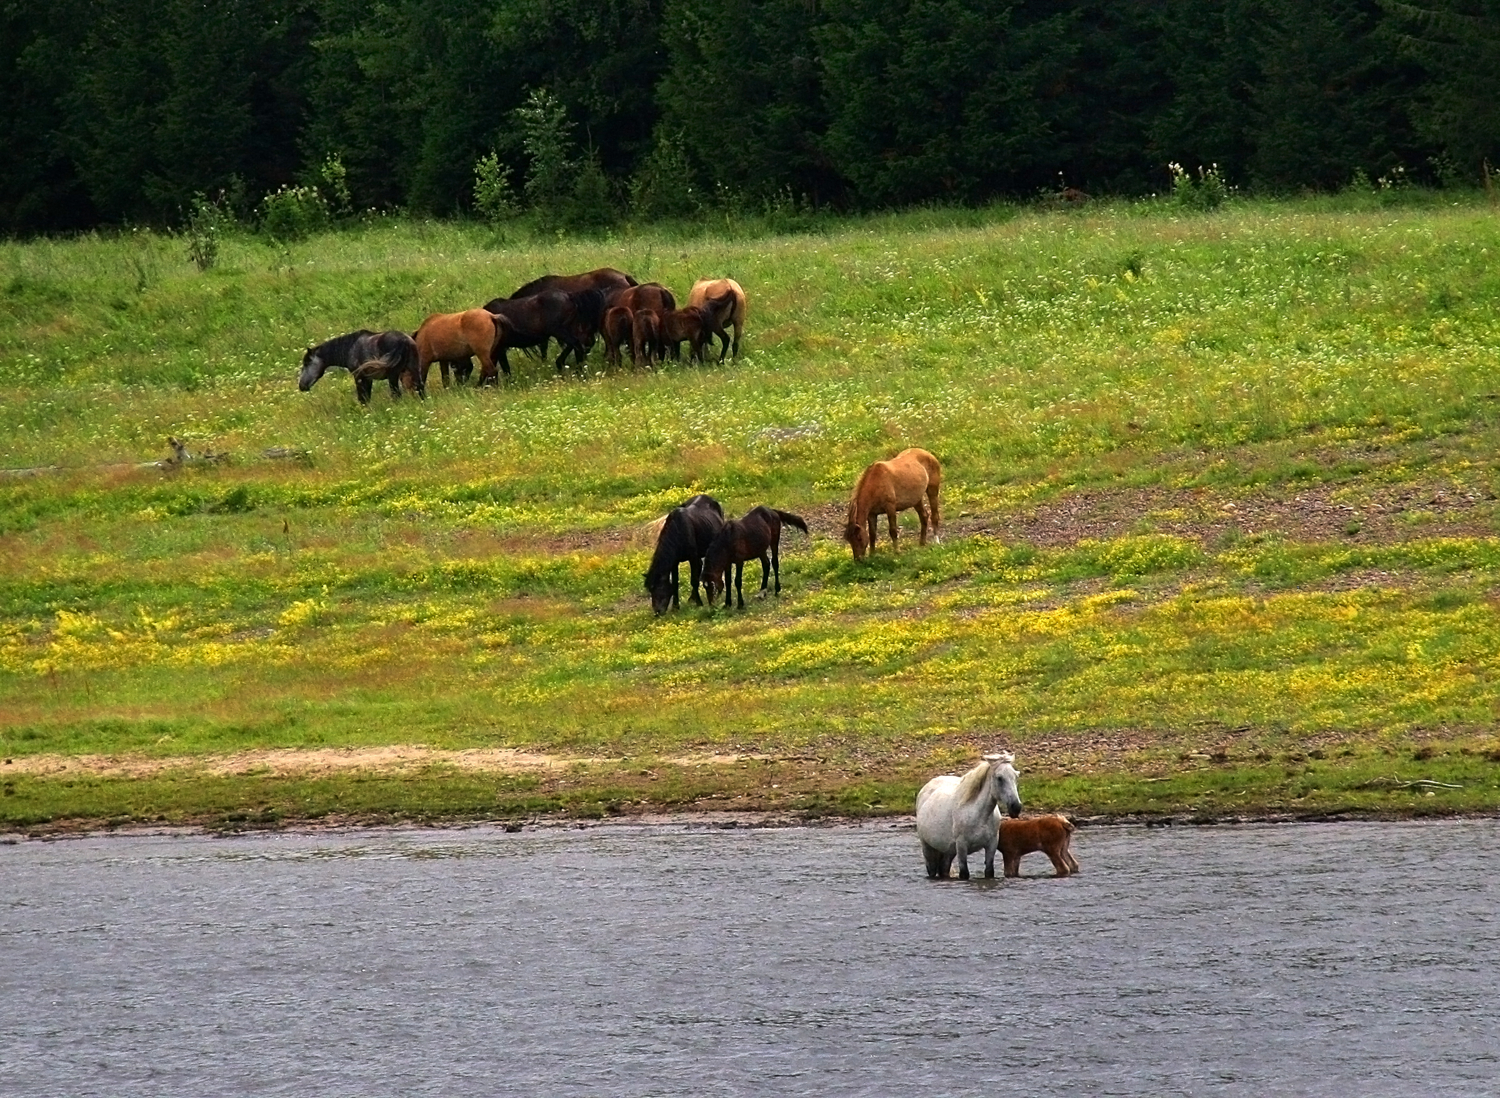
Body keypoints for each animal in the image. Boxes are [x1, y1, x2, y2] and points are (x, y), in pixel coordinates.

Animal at [298, 333, 426, 411]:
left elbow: (362, 398)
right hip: (414, 369)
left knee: (396, 394)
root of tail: (404, 340)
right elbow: (367, 397)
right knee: (420, 388)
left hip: (393, 375)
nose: (301, 386)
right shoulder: (368, 379)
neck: (350, 348)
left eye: (307, 363)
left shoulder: (359, 377)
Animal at [906, 750, 1026, 882]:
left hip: (948, 851)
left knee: (944, 869)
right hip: (927, 847)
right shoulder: (962, 846)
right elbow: (964, 874)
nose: (1016, 807)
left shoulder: (991, 845)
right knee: (931, 870)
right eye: (1000, 778)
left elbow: (989, 872)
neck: (979, 816)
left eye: (1016, 776)